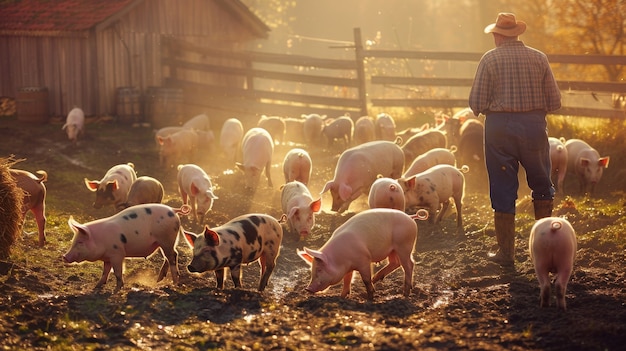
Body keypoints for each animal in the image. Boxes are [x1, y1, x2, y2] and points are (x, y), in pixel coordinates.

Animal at [63, 204, 191, 292]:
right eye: (73, 241)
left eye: (80, 242)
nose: (64, 256)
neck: (100, 239)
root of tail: (173, 210)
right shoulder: (108, 257)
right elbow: (105, 271)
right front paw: (96, 287)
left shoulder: (117, 254)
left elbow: (117, 272)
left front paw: (116, 290)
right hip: (163, 242)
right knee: (171, 255)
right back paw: (159, 279)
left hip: (166, 239)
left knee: (172, 256)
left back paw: (174, 283)